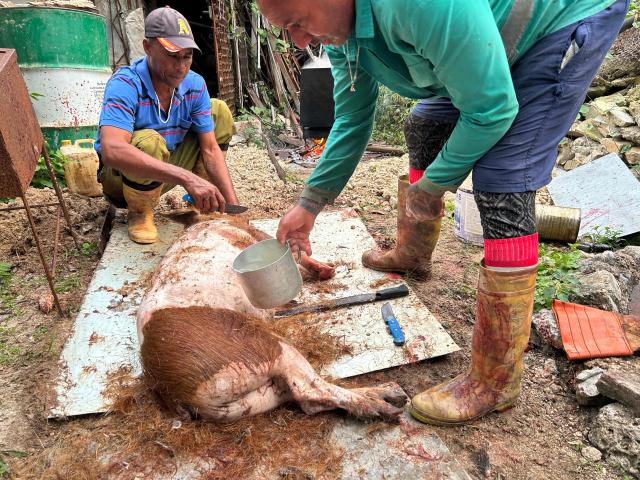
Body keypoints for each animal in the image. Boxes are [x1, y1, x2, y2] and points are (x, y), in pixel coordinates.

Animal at [137, 213, 407, 423]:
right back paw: (390, 398)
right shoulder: (257, 233)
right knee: (310, 390)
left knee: (304, 399)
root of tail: (178, 392)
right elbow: (298, 255)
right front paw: (327, 271)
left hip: (258, 397)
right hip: (265, 349)